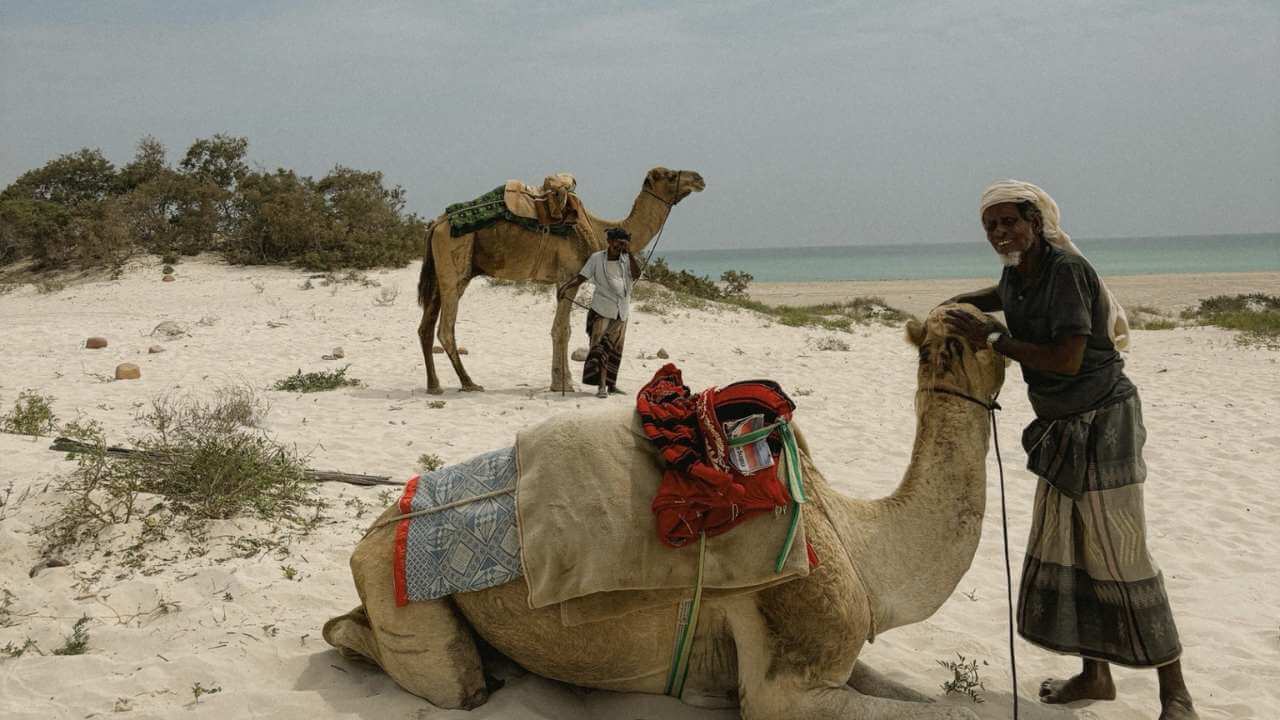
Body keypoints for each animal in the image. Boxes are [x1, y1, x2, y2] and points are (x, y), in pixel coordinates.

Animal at [325, 303, 1003, 717]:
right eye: (972, 340)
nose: (991, 317)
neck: (856, 538)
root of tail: (371, 534)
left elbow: (933, 700)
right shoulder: (792, 678)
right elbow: (955, 712)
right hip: (397, 590)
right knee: (430, 672)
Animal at [417, 167, 701, 392]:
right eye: (670, 175)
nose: (699, 178)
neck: (598, 227)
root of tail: (436, 224)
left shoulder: (561, 282)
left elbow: (559, 329)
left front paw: (559, 382)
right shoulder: (569, 276)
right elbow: (563, 330)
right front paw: (565, 384)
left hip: (444, 275)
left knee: (425, 327)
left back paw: (434, 385)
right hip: (454, 266)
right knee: (445, 329)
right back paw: (469, 383)